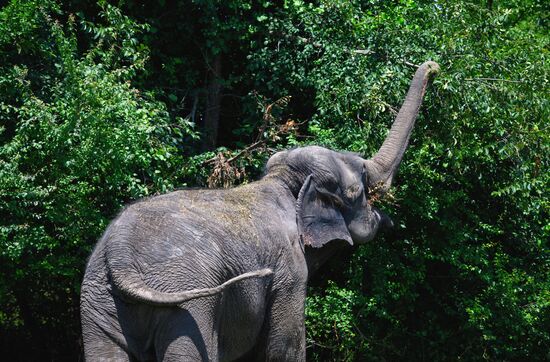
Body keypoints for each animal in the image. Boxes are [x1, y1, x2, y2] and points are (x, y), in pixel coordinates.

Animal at [80, 60, 440, 360]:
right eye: (359, 190)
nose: (433, 66)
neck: (285, 183)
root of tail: (121, 256)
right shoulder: (289, 271)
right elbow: (284, 347)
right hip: (186, 299)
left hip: (98, 301)